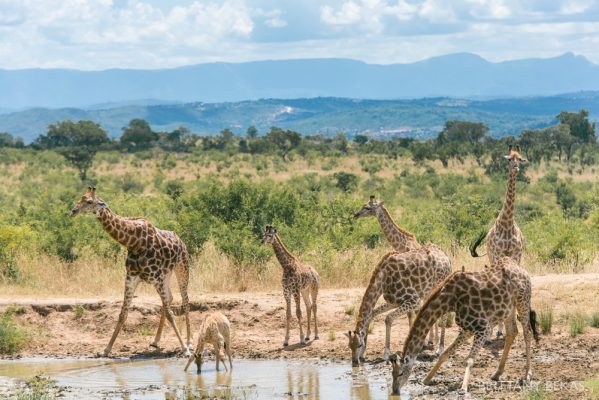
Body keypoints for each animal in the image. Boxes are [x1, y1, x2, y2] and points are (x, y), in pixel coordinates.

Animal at [70, 188, 192, 356]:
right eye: (80, 199)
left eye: (89, 202)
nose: (73, 211)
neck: (133, 242)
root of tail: (181, 240)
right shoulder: (131, 278)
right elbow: (123, 314)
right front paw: (106, 350)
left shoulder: (156, 277)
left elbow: (169, 313)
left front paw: (184, 349)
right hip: (166, 274)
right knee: (170, 298)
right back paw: (156, 341)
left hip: (181, 267)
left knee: (185, 300)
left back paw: (189, 341)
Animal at [390, 256, 540, 394]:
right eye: (392, 373)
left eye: (401, 373)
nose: (395, 391)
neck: (450, 300)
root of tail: (519, 267)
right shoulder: (468, 328)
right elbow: (446, 352)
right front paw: (427, 379)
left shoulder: (483, 327)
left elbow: (469, 360)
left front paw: (463, 388)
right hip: (508, 309)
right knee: (512, 331)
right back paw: (497, 373)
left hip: (523, 300)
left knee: (527, 332)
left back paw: (527, 375)